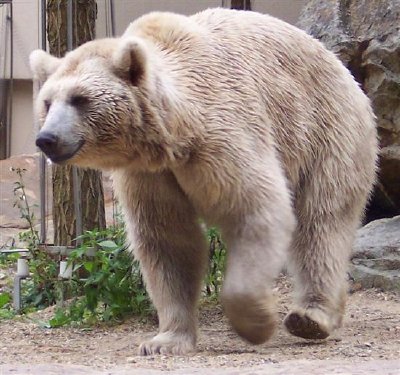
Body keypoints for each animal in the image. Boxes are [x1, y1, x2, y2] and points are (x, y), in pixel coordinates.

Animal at [30, 8, 378, 356]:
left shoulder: (223, 135)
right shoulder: (149, 174)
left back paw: (310, 317)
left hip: (326, 132)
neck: (176, 132)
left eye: (80, 99)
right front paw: (164, 341)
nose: (47, 139)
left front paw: (256, 324)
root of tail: (341, 66)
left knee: (321, 223)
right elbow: (167, 239)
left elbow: (257, 210)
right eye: (47, 102)